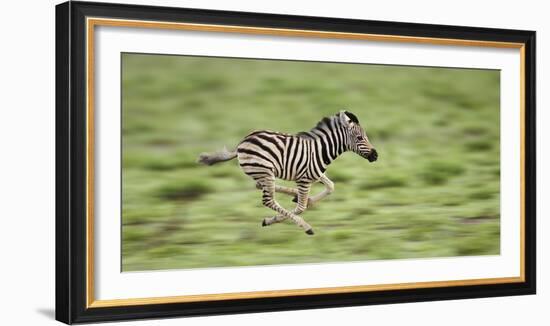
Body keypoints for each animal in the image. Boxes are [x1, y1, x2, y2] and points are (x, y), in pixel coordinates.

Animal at [198, 111, 380, 236]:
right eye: (359, 138)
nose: (375, 156)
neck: (321, 151)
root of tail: (242, 142)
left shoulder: (315, 174)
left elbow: (330, 187)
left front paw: (305, 199)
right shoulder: (304, 180)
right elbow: (300, 208)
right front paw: (280, 219)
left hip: (263, 172)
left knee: (259, 186)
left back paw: (293, 194)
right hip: (265, 171)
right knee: (268, 200)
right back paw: (304, 225)